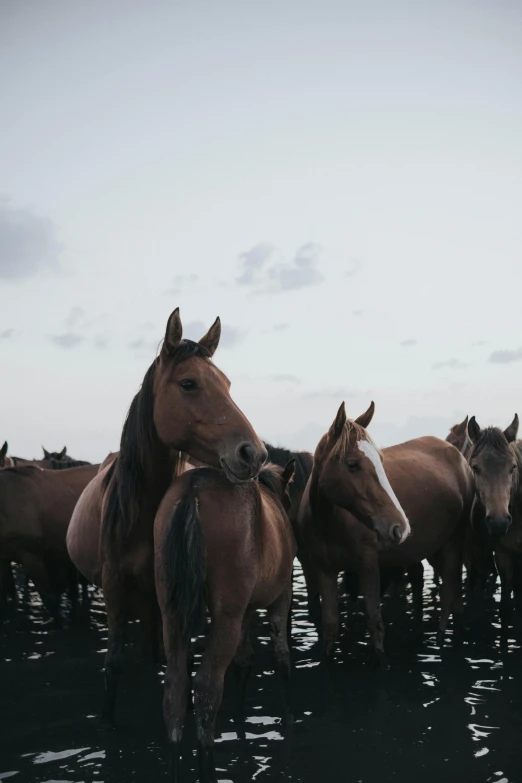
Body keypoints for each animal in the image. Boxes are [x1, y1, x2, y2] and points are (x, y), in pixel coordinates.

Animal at [66, 308, 268, 728]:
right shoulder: (113, 588)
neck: (140, 515)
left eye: (227, 383)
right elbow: (114, 662)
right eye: (189, 383)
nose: (253, 454)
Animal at [153, 462, 296, 780]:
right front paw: (287, 713)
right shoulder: (281, 598)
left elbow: (244, 659)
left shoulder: (245, 611)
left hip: (172, 614)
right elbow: (281, 656)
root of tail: (193, 488)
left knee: (175, 686)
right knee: (207, 686)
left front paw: (241, 710)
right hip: (226, 615)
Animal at [296, 398, 472, 660]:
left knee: (449, 596)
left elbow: (375, 624)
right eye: (352, 464)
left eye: (380, 460)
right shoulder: (324, 569)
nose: (400, 527)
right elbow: (329, 627)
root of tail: (458, 455)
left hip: (454, 543)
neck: (330, 522)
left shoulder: (369, 565)